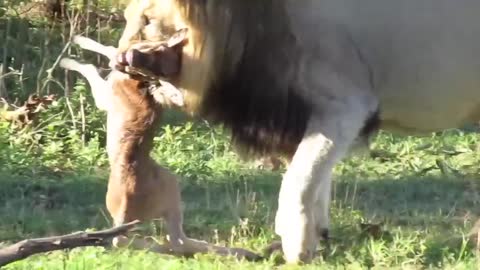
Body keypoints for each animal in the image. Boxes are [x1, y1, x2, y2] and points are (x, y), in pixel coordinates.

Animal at [60, 36, 262, 262]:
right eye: (154, 53)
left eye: (156, 62)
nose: (131, 58)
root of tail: (125, 210)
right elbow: (107, 52)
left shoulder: (104, 96)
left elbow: (96, 62)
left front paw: (72, 53)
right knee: (163, 239)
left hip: (170, 183)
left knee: (154, 239)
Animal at [113, 0, 480, 264]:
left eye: (147, 20)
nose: (118, 61)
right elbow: (316, 181)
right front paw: (318, 234)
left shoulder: (346, 106)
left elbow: (298, 181)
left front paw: (297, 247)